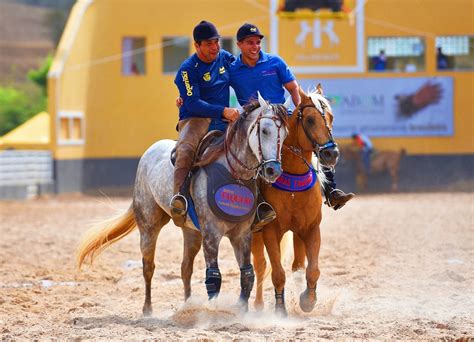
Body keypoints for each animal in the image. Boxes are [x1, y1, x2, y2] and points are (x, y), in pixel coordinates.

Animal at [76, 93, 288, 316]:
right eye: (264, 130)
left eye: (285, 133)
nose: (273, 170)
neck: (233, 173)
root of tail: (150, 151)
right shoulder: (211, 234)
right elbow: (214, 276)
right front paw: (213, 312)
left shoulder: (242, 234)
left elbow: (247, 274)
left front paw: (242, 312)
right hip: (149, 226)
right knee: (148, 266)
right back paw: (148, 309)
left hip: (191, 232)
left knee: (186, 268)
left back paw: (188, 307)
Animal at [250, 85, 338, 316]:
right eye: (310, 120)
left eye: (331, 117)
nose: (331, 153)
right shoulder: (270, 231)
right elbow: (277, 272)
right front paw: (280, 308)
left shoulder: (310, 228)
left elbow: (312, 269)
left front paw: (308, 299)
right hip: (254, 234)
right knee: (260, 265)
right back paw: (258, 305)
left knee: (298, 264)